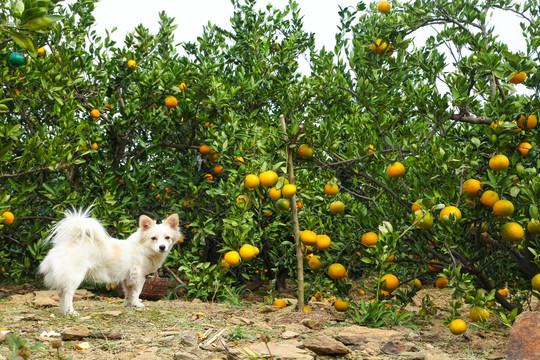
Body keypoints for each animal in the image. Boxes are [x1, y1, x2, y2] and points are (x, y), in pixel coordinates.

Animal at [39, 208, 181, 316]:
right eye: (153, 238)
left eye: (167, 238)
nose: (162, 247)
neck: (142, 248)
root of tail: (70, 241)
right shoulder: (138, 277)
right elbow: (136, 292)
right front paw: (137, 304)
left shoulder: (127, 279)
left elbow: (128, 293)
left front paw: (128, 305)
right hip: (74, 277)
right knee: (67, 294)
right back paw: (71, 312)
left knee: (61, 294)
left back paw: (64, 311)